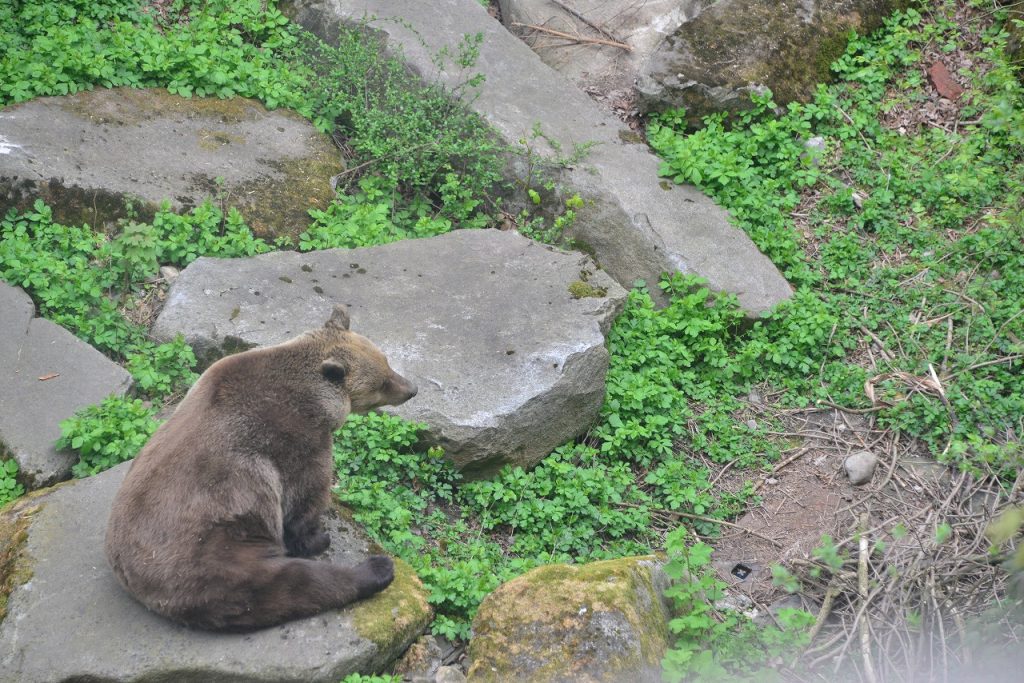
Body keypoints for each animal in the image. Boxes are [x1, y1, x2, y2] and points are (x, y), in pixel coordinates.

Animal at [104, 307, 415, 634]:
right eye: (382, 382)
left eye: (387, 362)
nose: (411, 389)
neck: (316, 398)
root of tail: (136, 582)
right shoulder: (296, 438)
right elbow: (306, 494)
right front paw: (316, 537)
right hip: (212, 546)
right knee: (280, 585)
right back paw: (376, 569)